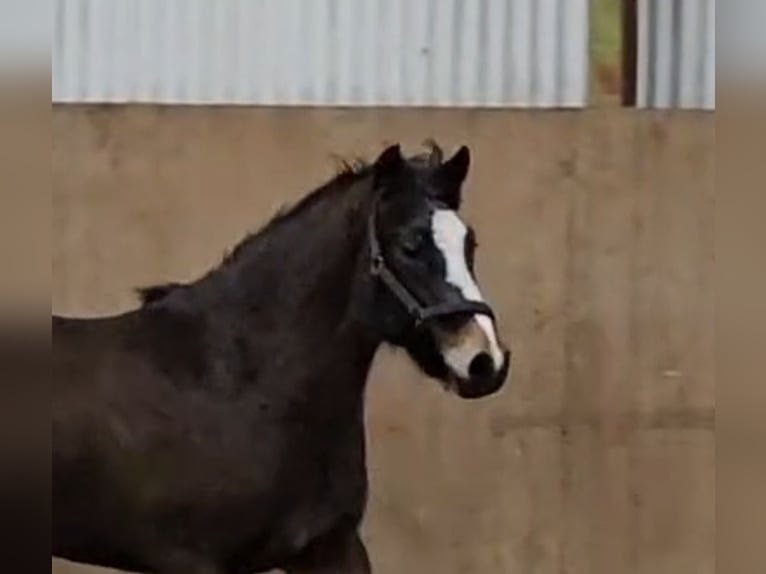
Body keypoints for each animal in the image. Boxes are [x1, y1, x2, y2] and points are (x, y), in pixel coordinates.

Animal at [52, 141, 511, 574]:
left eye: (469, 244)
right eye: (410, 245)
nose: (485, 361)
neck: (235, 383)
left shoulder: (330, 545)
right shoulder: (189, 558)